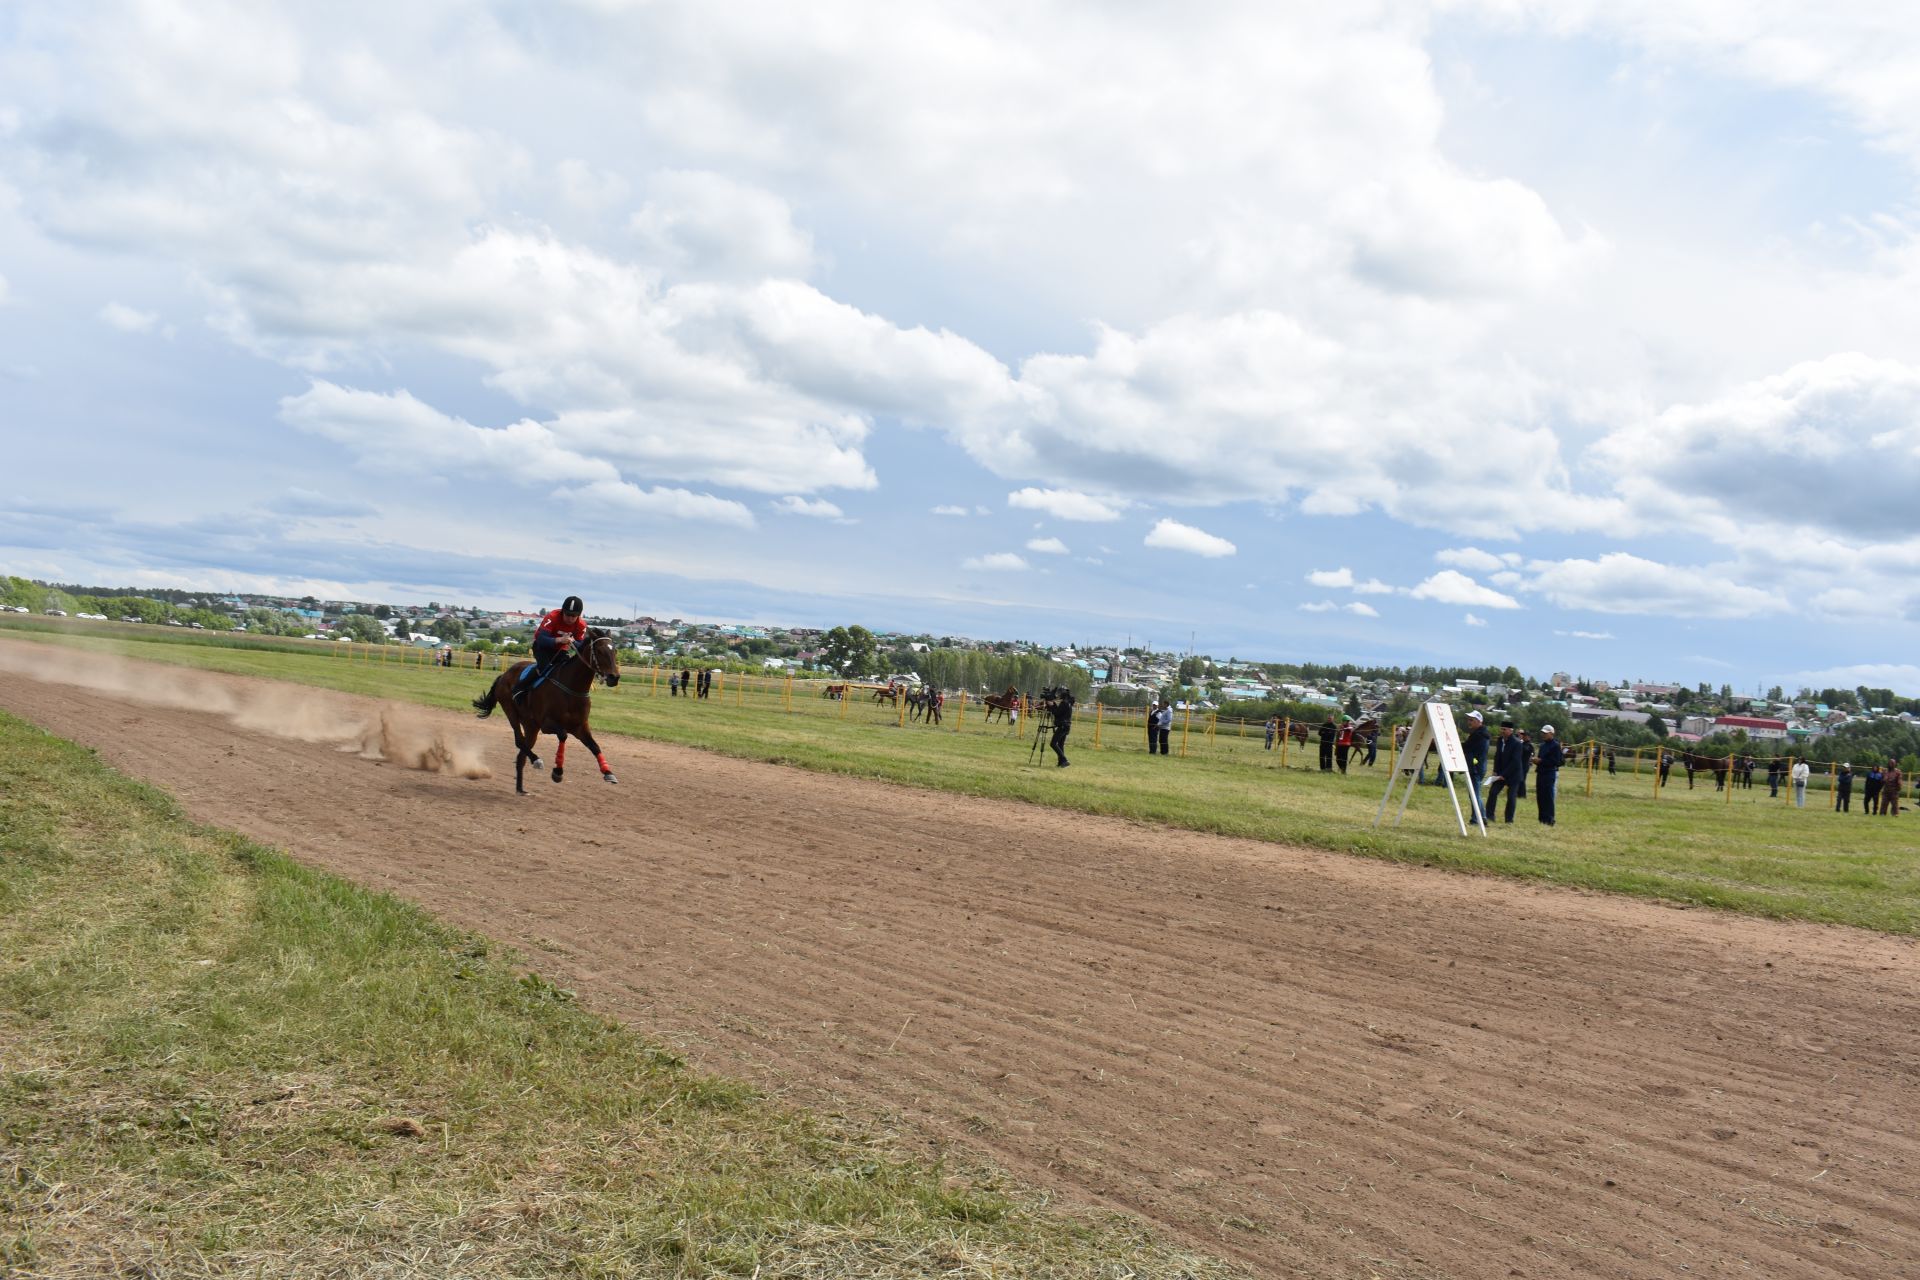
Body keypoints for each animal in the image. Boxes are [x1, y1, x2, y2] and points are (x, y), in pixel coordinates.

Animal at [472, 629, 622, 794]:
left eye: (614, 650)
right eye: (600, 651)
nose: (614, 677)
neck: (572, 688)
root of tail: (503, 675)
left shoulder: (580, 726)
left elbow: (594, 746)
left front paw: (608, 772)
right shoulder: (547, 724)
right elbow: (563, 735)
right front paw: (557, 771)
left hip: (531, 726)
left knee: (521, 755)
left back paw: (520, 788)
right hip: (511, 710)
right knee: (519, 740)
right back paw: (536, 760)